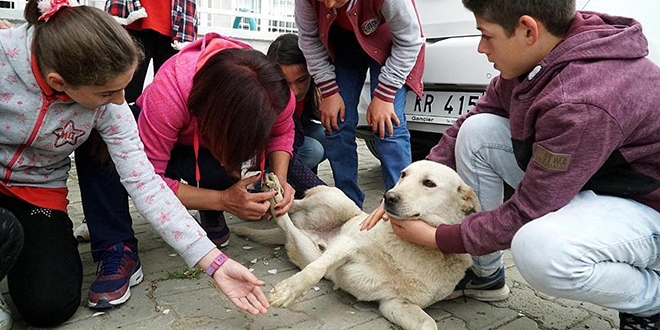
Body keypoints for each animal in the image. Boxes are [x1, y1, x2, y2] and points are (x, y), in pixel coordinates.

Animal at [235, 160, 476, 330]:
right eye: (403, 175)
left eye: (429, 183)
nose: (388, 197)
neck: (413, 248)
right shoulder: (347, 244)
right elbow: (314, 271)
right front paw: (288, 290)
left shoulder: (394, 303)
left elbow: (429, 324)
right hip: (336, 202)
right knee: (294, 205)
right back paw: (273, 190)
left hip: (305, 246)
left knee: (285, 223)